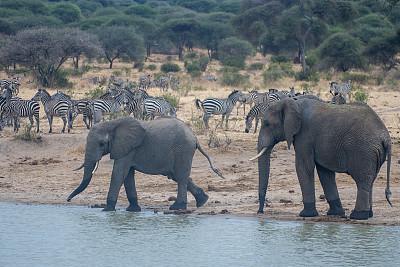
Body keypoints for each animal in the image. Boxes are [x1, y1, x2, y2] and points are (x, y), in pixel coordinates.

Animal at [67, 116, 223, 213]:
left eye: (101, 144)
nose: (68, 200)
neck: (112, 123)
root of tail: (195, 137)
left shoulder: (128, 148)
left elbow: (119, 173)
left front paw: (107, 210)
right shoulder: (128, 148)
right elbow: (128, 175)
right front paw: (132, 211)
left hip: (183, 149)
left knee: (181, 177)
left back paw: (177, 208)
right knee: (176, 176)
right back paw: (202, 201)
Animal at [252, 97, 392, 221]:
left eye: (267, 124)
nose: (260, 211)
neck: (292, 102)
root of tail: (386, 136)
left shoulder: (304, 135)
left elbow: (303, 167)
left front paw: (306, 214)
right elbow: (325, 172)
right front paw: (335, 213)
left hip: (363, 150)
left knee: (362, 181)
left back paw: (358, 216)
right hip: (373, 153)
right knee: (370, 181)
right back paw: (369, 214)